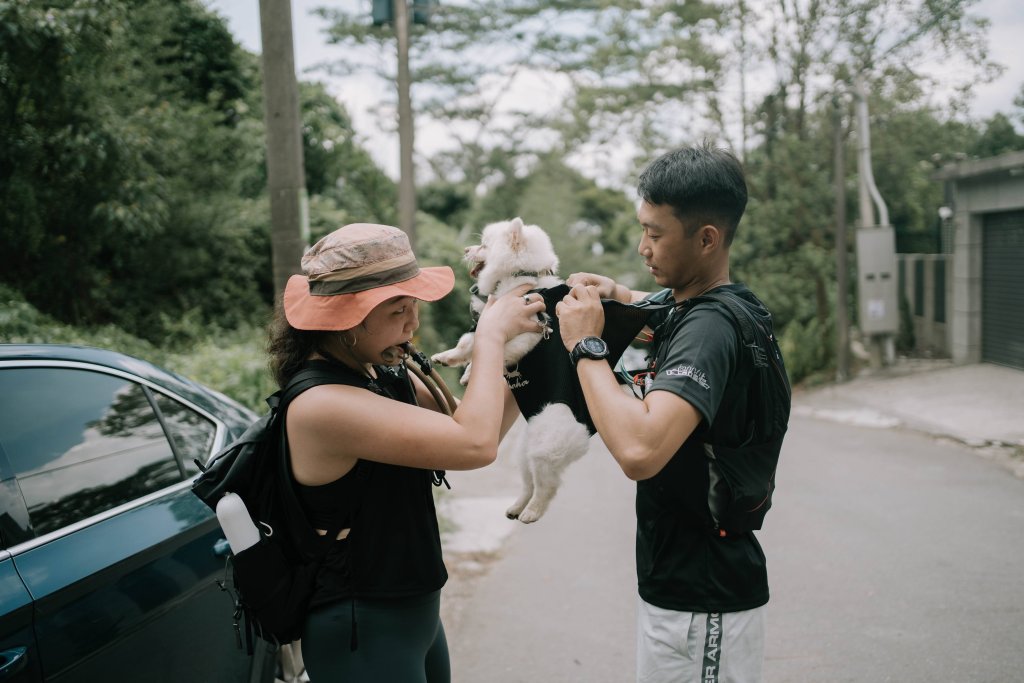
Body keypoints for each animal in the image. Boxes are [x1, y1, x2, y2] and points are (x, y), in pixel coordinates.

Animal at [432, 218, 593, 524]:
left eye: (483, 244)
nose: (466, 248)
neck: (521, 277)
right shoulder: (487, 321)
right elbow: (469, 343)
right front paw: (450, 359)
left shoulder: (527, 333)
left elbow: (493, 351)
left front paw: (470, 371)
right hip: (524, 452)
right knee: (529, 483)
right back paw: (517, 506)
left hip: (545, 446)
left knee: (547, 487)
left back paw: (531, 512)